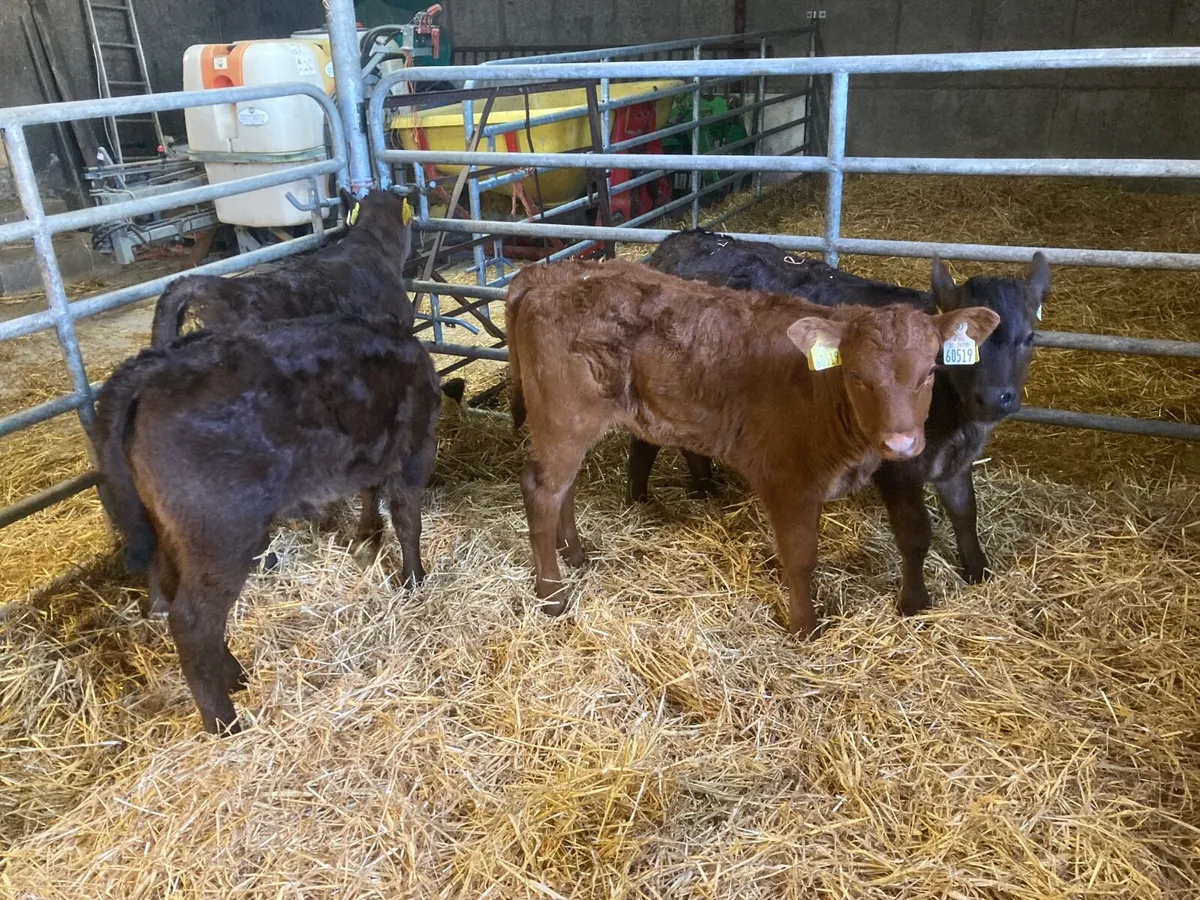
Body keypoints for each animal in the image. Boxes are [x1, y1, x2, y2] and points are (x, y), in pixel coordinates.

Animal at [93, 313, 441, 734]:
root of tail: (158, 366)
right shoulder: (416, 448)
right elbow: (407, 520)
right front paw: (414, 579)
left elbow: (370, 493)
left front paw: (367, 541)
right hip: (222, 533)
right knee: (193, 619)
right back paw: (223, 721)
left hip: (170, 526)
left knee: (170, 586)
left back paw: (233, 676)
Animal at [505, 258, 999, 635]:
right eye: (857, 375)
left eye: (929, 371)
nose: (901, 441)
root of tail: (550, 273)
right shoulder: (788, 482)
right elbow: (800, 558)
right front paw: (804, 626)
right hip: (564, 419)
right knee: (540, 489)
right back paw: (552, 595)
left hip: (567, 428)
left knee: (562, 487)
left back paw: (575, 554)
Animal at [633, 229, 1050, 615]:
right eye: (958, 349)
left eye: (1029, 337)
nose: (994, 397)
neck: (955, 421)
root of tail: (679, 240)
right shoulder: (896, 468)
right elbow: (915, 532)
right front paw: (914, 602)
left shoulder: (953, 460)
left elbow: (965, 512)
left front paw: (978, 570)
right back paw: (639, 499)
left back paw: (705, 488)